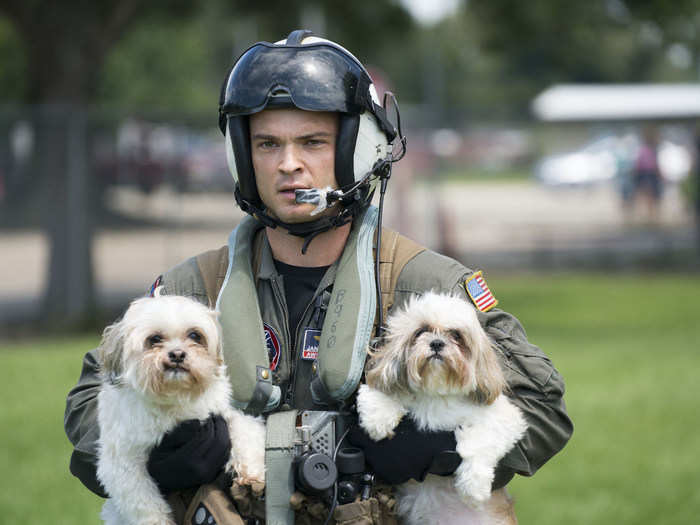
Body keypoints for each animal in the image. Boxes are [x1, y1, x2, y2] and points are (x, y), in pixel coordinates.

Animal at [95, 294, 266, 524]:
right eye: (154, 339)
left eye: (195, 335)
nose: (177, 354)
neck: (174, 397)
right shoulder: (124, 461)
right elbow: (144, 502)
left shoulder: (223, 413)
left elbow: (244, 430)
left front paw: (251, 473)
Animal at [358, 290, 528, 524]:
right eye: (421, 331)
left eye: (456, 335)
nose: (437, 343)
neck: (436, 392)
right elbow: (381, 393)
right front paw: (378, 421)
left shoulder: (503, 417)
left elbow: (480, 442)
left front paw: (473, 486)